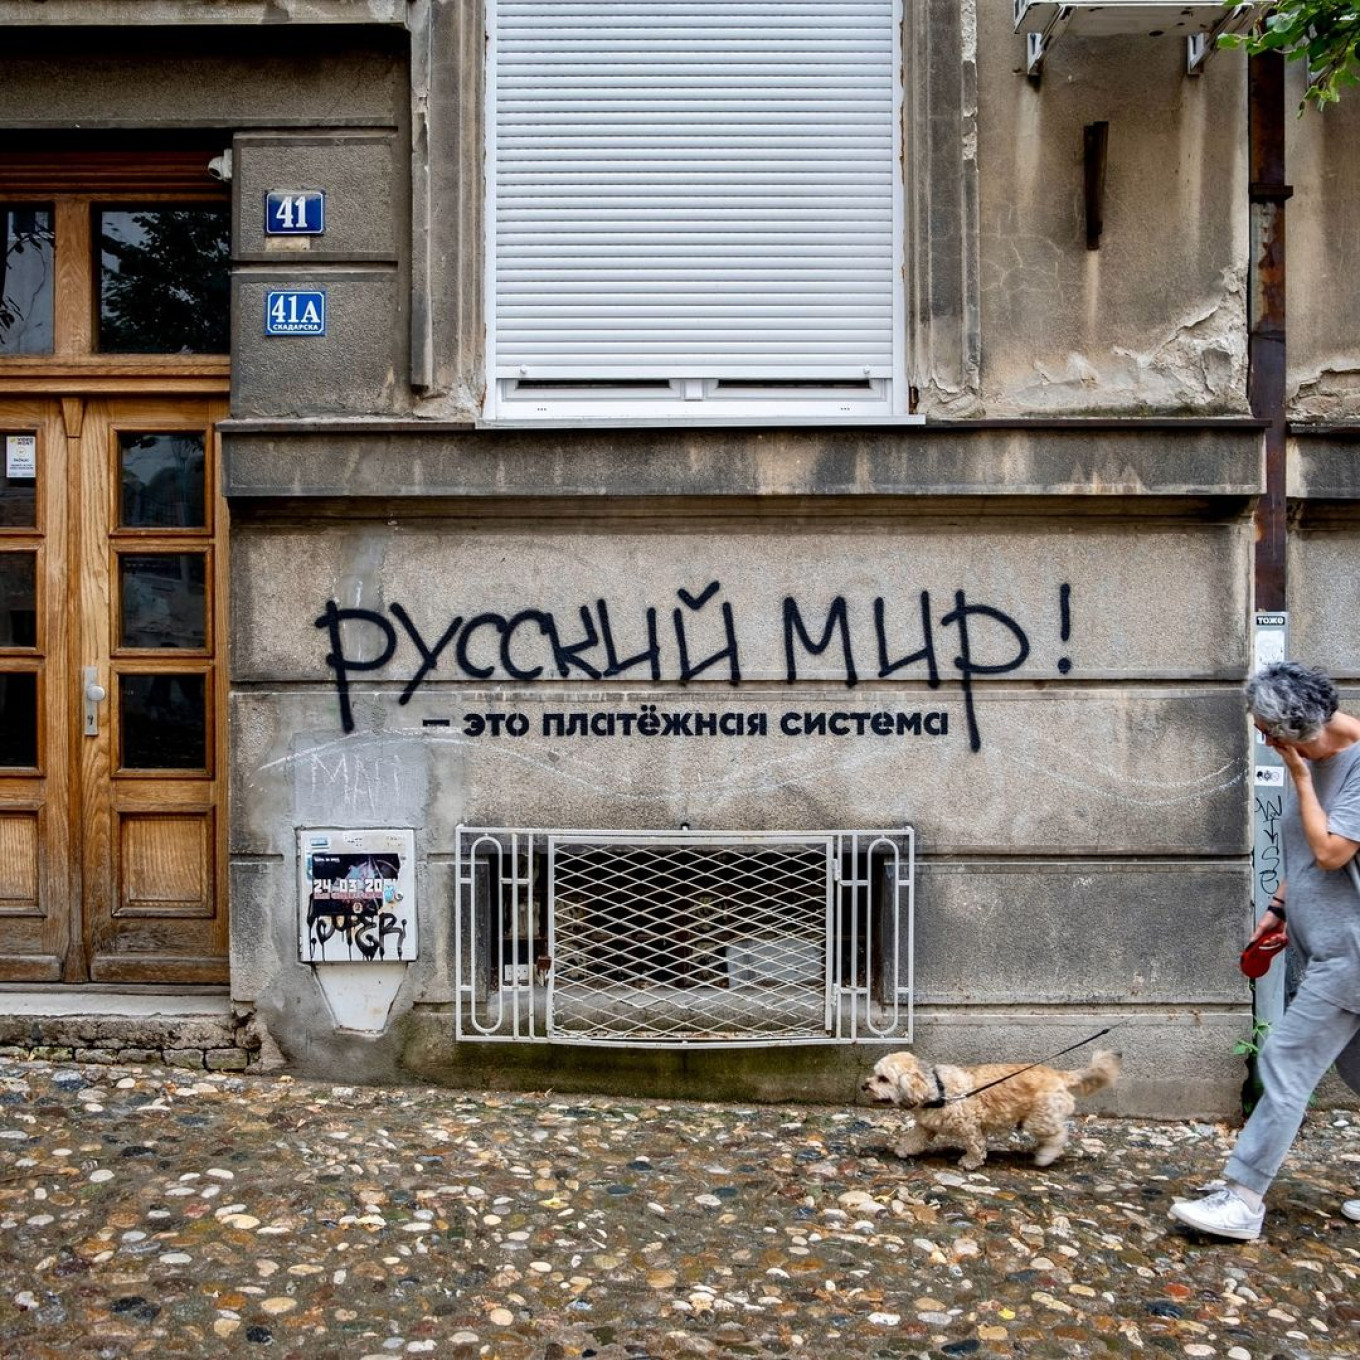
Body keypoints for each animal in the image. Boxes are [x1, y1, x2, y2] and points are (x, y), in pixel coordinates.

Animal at [864, 1049, 1120, 1169]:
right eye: (875, 1075)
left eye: (883, 1078)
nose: (864, 1085)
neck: (938, 1088)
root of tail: (1060, 1075)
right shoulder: (926, 1126)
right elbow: (914, 1138)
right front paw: (903, 1150)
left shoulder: (970, 1128)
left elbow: (975, 1147)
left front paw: (970, 1162)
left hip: (1039, 1119)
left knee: (1059, 1135)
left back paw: (1045, 1156)